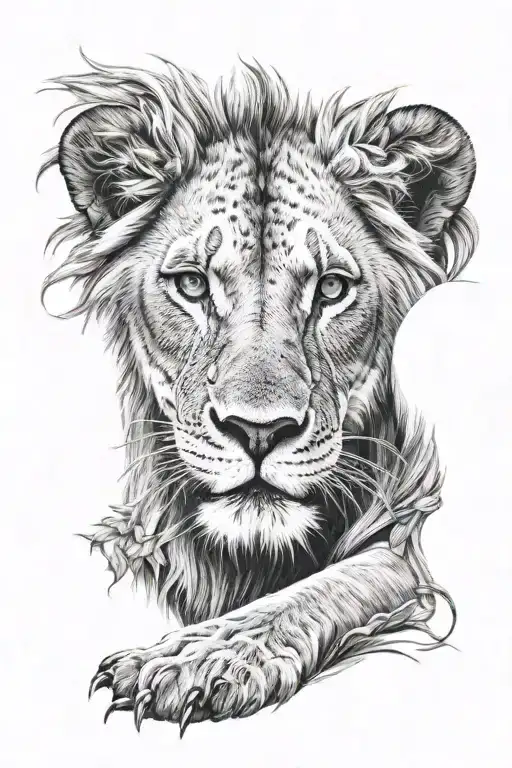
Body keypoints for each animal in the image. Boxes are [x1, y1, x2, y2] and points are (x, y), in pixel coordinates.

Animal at [40, 53, 478, 735]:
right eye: (193, 284)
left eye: (331, 288)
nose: (259, 431)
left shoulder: (411, 551)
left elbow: (339, 581)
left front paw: (200, 659)